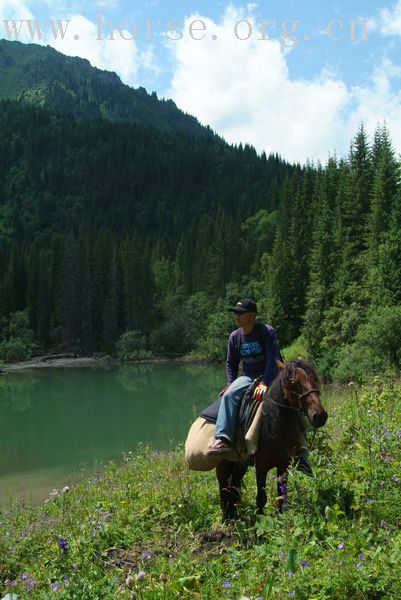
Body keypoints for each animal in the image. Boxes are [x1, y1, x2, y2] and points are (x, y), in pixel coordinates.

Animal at [216, 358, 324, 524]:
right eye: (293, 383)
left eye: (314, 378)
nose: (320, 416)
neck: (273, 427)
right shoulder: (261, 467)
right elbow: (261, 498)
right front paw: (260, 523)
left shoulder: (283, 465)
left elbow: (281, 495)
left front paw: (282, 518)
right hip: (222, 465)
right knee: (223, 490)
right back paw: (227, 521)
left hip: (240, 464)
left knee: (232, 488)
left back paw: (234, 516)